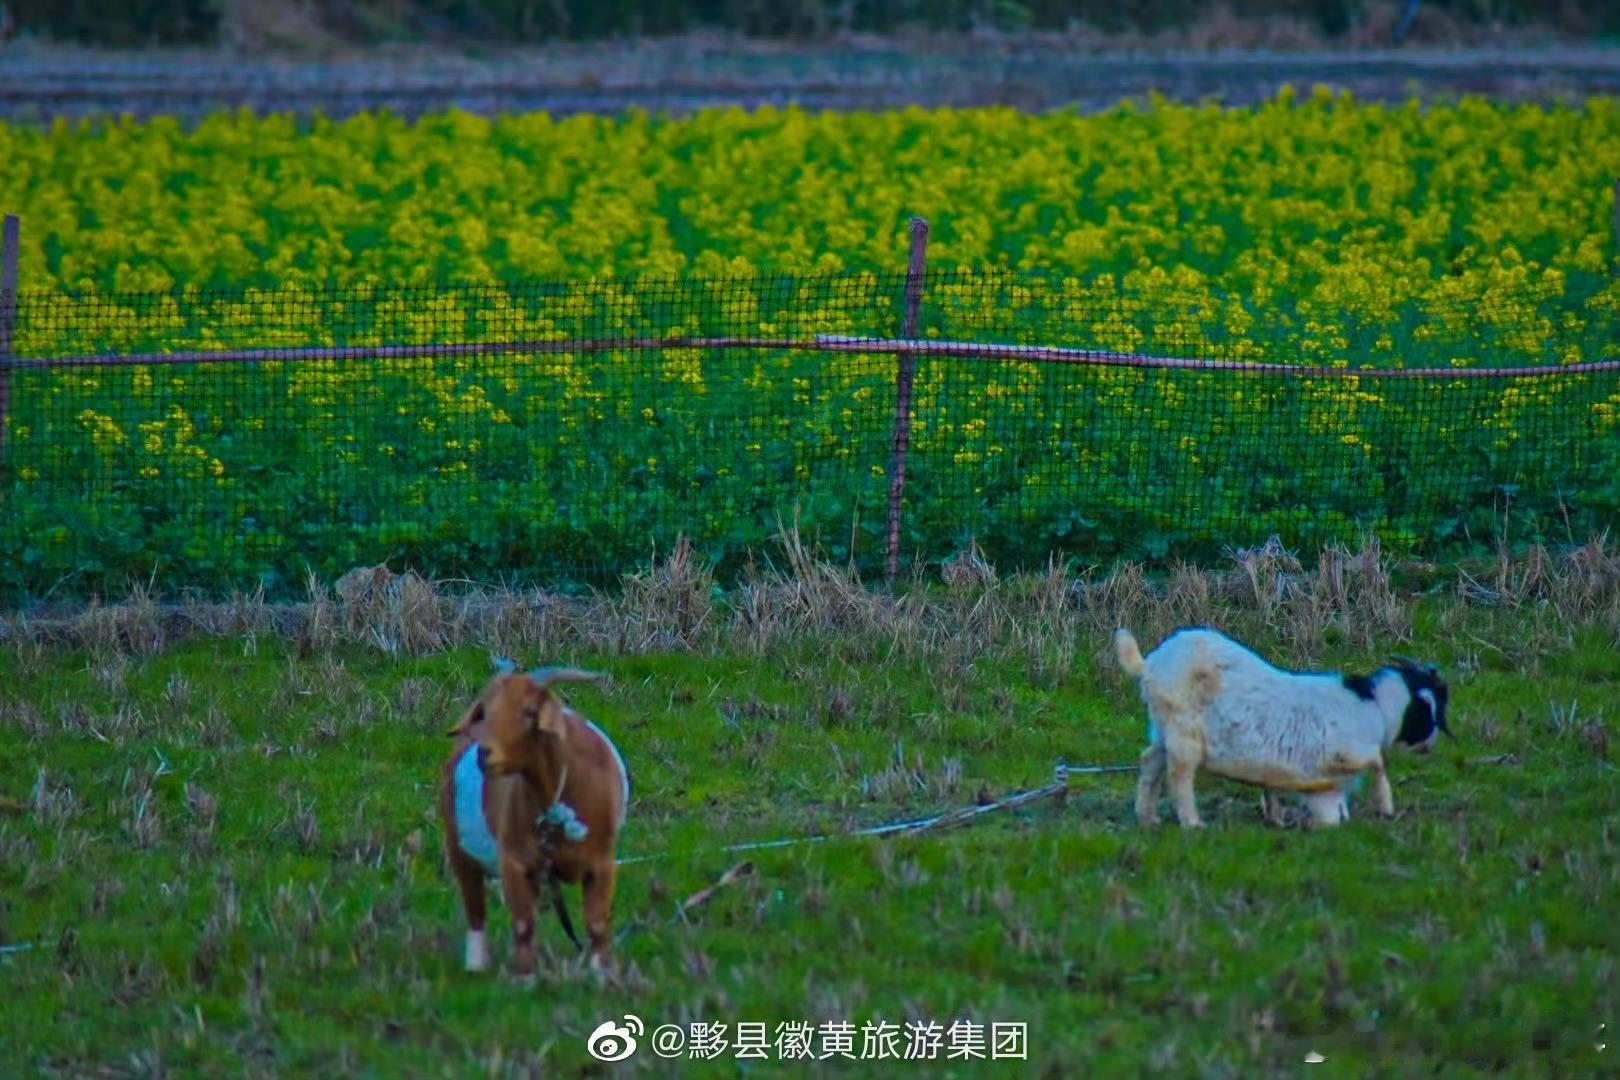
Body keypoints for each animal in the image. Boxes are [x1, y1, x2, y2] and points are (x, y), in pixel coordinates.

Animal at [440, 667, 628, 977]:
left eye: (530, 712)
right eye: (487, 711)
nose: (484, 753)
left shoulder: (601, 863)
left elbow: (597, 925)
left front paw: (603, 975)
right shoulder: (515, 862)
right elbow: (523, 925)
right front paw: (525, 977)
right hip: (459, 849)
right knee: (475, 909)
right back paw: (476, 967)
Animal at [1121, 625, 1451, 829]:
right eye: (1428, 710)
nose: (1430, 744)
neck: (1376, 707)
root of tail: (1150, 664)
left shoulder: (1322, 784)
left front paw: (1277, 817)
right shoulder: (1342, 753)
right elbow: (1379, 762)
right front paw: (1387, 806)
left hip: (1163, 728)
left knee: (1149, 761)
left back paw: (1147, 818)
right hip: (1184, 731)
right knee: (1179, 774)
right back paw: (1192, 823)